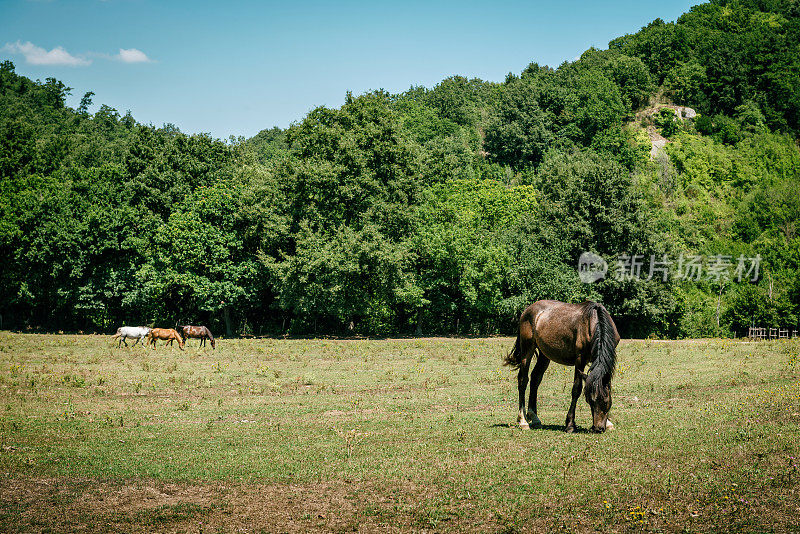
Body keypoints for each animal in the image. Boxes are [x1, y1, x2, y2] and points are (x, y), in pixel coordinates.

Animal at [504, 302, 620, 436]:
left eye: (606, 401)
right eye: (589, 400)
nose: (598, 428)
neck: (595, 321)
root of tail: (528, 309)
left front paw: (609, 423)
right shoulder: (580, 360)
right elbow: (576, 390)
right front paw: (570, 425)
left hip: (544, 355)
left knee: (535, 379)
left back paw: (535, 418)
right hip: (527, 350)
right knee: (523, 380)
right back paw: (523, 421)